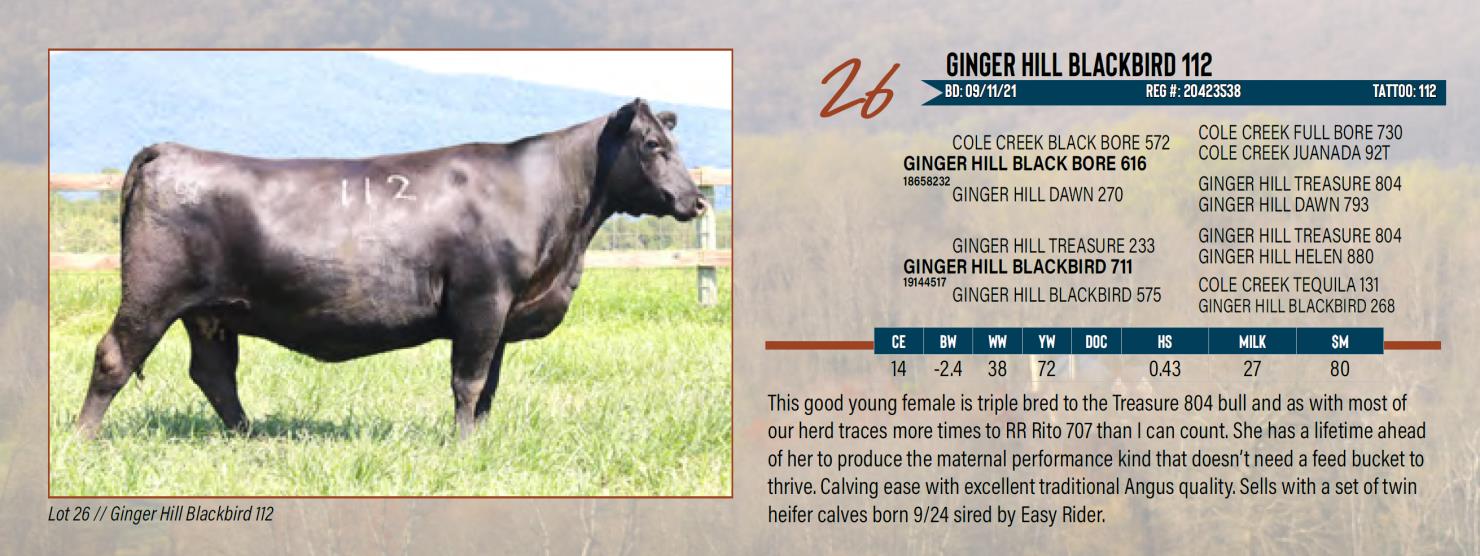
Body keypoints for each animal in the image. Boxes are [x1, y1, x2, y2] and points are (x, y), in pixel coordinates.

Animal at [76, 98, 708, 439]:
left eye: (672, 143)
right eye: (652, 145)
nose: (697, 200)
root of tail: (171, 150)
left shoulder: (502, 313)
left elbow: (490, 386)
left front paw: (479, 439)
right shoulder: (482, 300)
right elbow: (468, 380)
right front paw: (460, 447)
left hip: (211, 311)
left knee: (214, 374)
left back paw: (251, 437)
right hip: (152, 294)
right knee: (114, 356)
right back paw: (84, 440)